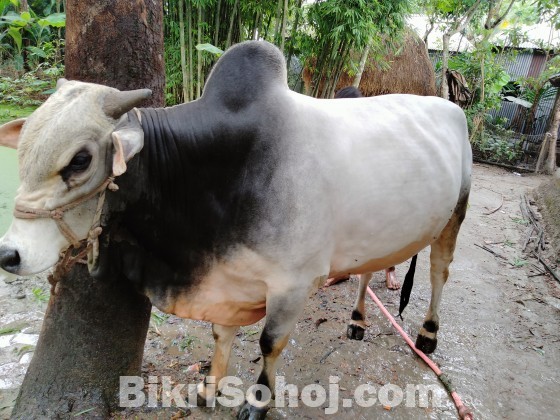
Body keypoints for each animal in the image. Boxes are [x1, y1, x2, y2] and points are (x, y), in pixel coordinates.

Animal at [0, 41, 472, 418]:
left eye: (80, 160)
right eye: (21, 154)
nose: (10, 254)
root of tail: (451, 105)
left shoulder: (293, 283)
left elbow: (269, 344)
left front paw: (257, 403)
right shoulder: (226, 278)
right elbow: (220, 333)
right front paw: (210, 389)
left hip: (455, 215)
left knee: (439, 272)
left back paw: (427, 333)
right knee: (368, 271)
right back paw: (357, 321)